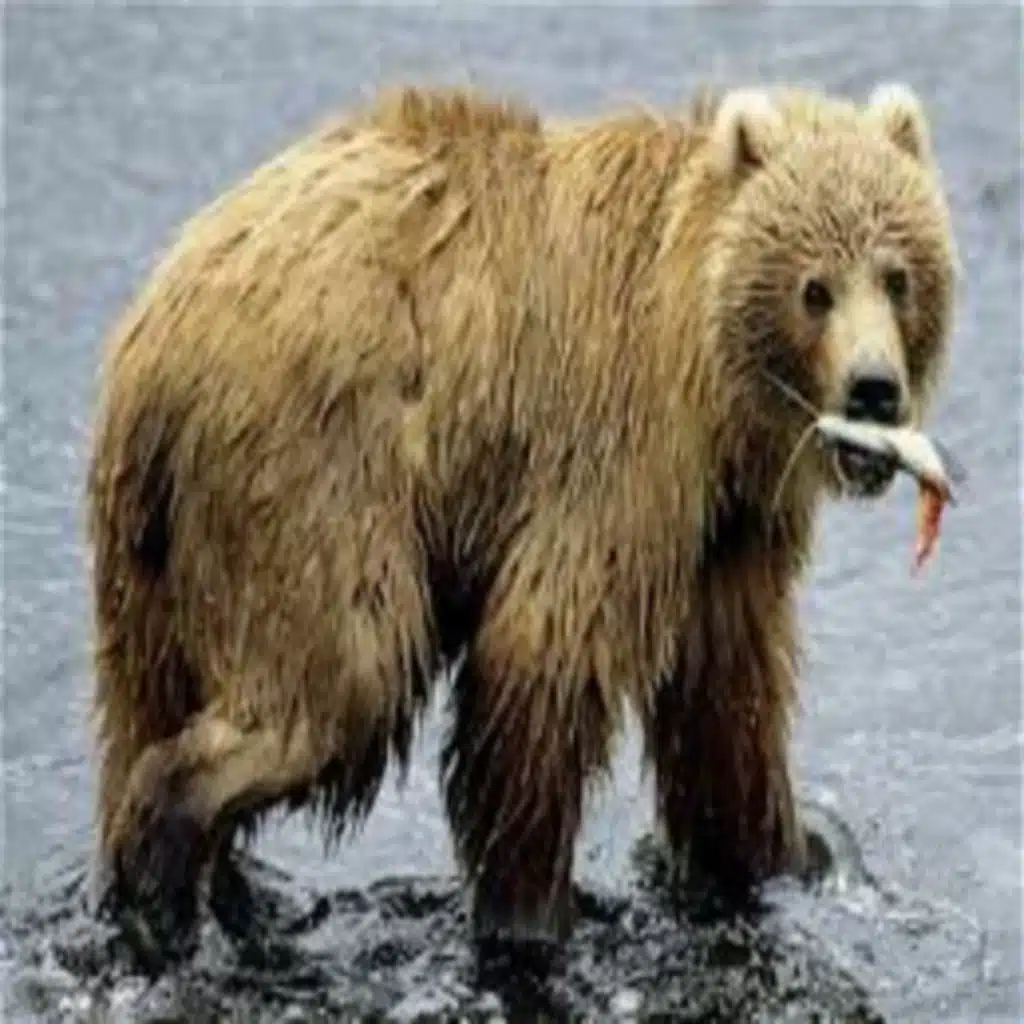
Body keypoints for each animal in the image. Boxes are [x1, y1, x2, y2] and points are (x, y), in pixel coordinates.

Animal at [85, 79, 958, 963]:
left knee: (148, 698)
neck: (713, 386)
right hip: (314, 478)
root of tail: (152, 342)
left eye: (897, 276)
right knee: (338, 681)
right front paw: (532, 913)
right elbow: (543, 654)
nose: (874, 389)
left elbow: (727, 698)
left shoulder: (725, 525)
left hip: (155, 553)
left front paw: (791, 850)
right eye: (815, 288)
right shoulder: (616, 446)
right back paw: (164, 880)